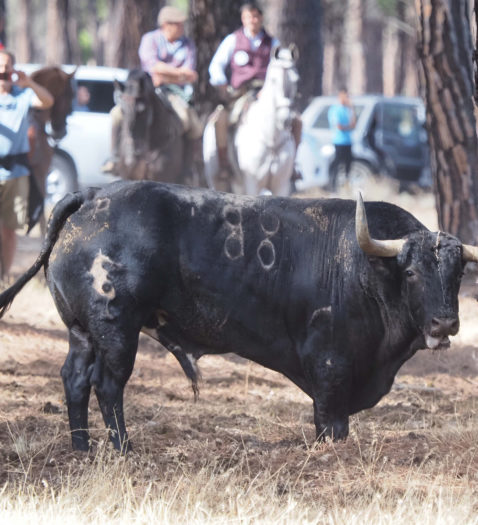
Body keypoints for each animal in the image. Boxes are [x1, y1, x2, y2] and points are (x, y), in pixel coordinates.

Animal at [0, 181, 478, 450]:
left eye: (457, 273)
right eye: (411, 272)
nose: (445, 323)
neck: (365, 267)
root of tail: (93, 196)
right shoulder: (330, 368)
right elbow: (331, 424)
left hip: (81, 333)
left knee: (75, 380)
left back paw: (81, 448)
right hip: (117, 331)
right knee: (106, 384)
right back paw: (123, 448)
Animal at [204, 45, 298, 195]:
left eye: (296, 80)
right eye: (273, 80)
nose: (285, 119)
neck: (271, 139)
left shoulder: (281, 185)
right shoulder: (252, 182)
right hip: (217, 180)